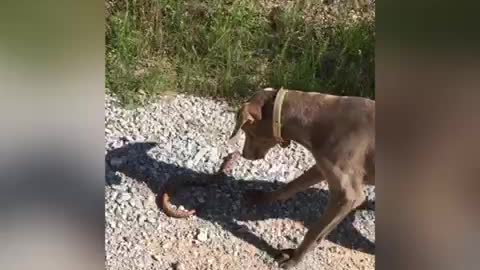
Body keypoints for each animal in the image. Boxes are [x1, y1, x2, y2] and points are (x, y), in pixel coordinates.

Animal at [228, 87, 376, 268]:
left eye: (246, 131)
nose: (243, 154)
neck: (317, 121)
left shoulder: (347, 196)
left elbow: (314, 233)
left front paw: (294, 258)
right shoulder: (321, 166)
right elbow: (292, 185)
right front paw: (262, 197)